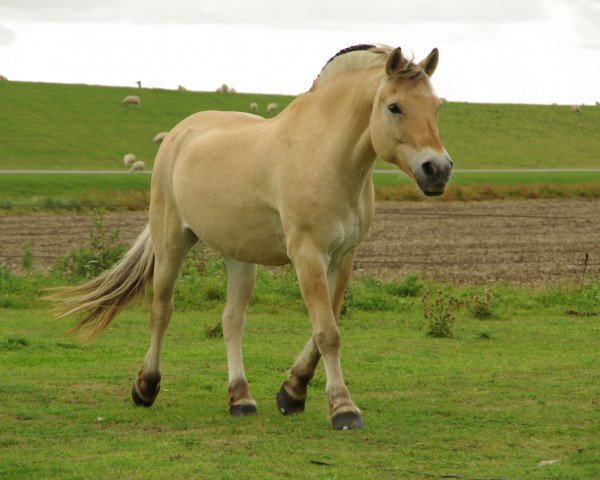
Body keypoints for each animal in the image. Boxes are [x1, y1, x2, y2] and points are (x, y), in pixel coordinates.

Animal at [52, 43, 450, 430]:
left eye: (437, 106)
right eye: (394, 106)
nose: (438, 169)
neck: (324, 155)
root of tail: (179, 134)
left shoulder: (343, 258)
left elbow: (325, 327)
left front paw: (292, 392)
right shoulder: (308, 255)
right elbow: (327, 332)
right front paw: (343, 408)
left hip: (239, 257)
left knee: (231, 321)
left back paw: (240, 398)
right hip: (171, 244)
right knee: (161, 311)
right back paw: (146, 387)